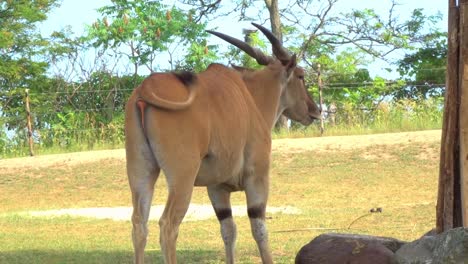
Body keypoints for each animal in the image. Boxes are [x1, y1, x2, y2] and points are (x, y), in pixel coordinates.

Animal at [125, 23, 322, 264]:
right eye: (301, 76)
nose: (315, 110)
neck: (250, 98)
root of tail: (146, 88)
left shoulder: (217, 189)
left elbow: (228, 230)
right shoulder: (257, 178)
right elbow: (259, 229)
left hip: (141, 173)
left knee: (139, 224)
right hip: (182, 178)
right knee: (168, 225)